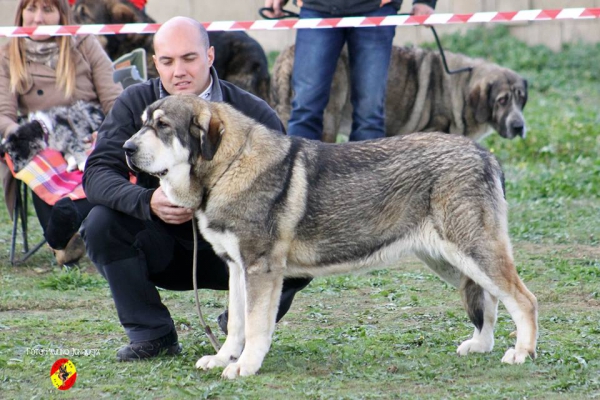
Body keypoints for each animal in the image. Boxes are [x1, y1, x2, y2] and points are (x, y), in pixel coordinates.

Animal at [270, 45, 528, 143]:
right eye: (502, 101)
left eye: (521, 99)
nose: (519, 127)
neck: (461, 87)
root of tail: (287, 55)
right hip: (328, 121)